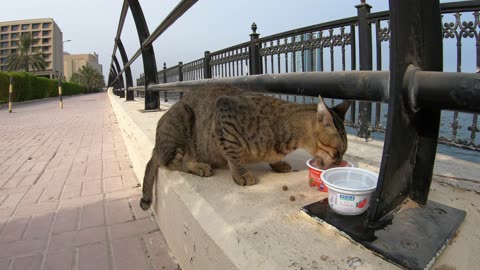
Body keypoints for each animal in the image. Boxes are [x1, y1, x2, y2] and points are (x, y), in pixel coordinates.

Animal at [141, 85, 350, 210]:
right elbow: (233, 154)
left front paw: (278, 163)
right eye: (338, 152)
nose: (338, 163)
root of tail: (156, 146)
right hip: (182, 116)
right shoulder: (225, 117)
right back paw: (198, 165)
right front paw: (241, 173)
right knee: (172, 162)